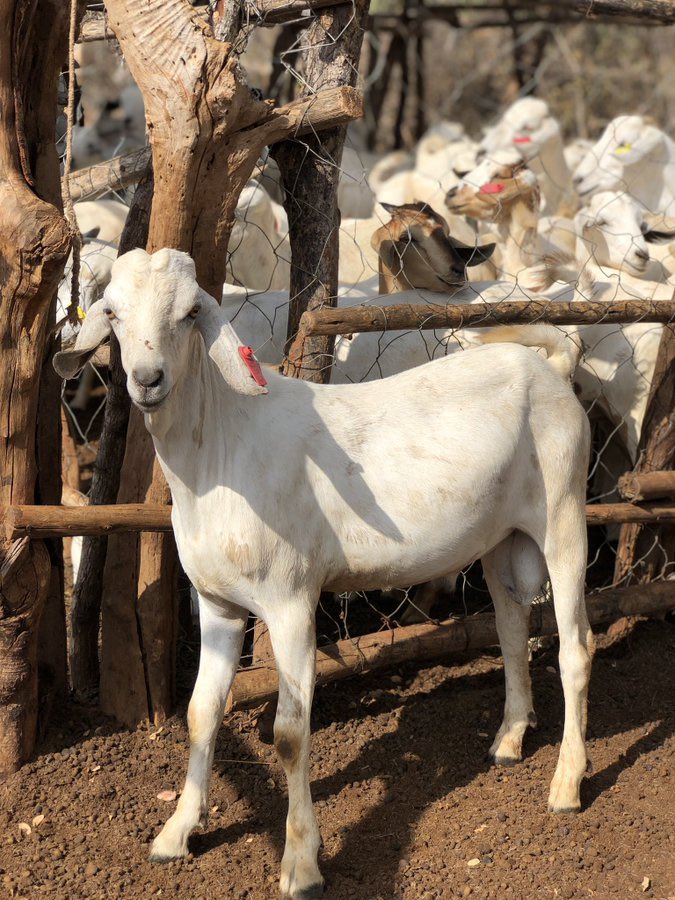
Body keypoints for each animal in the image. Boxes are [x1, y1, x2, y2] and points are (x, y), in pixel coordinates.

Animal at [55, 247, 593, 899]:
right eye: (112, 312)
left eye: (189, 314)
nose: (147, 379)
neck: (222, 446)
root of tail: (552, 368)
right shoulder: (217, 604)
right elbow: (201, 713)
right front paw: (176, 833)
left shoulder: (290, 598)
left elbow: (289, 733)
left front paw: (301, 863)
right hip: (501, 535)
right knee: (513, 627)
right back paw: (511, 739)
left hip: (564, 511)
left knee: (576, 646)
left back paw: (567, 783)